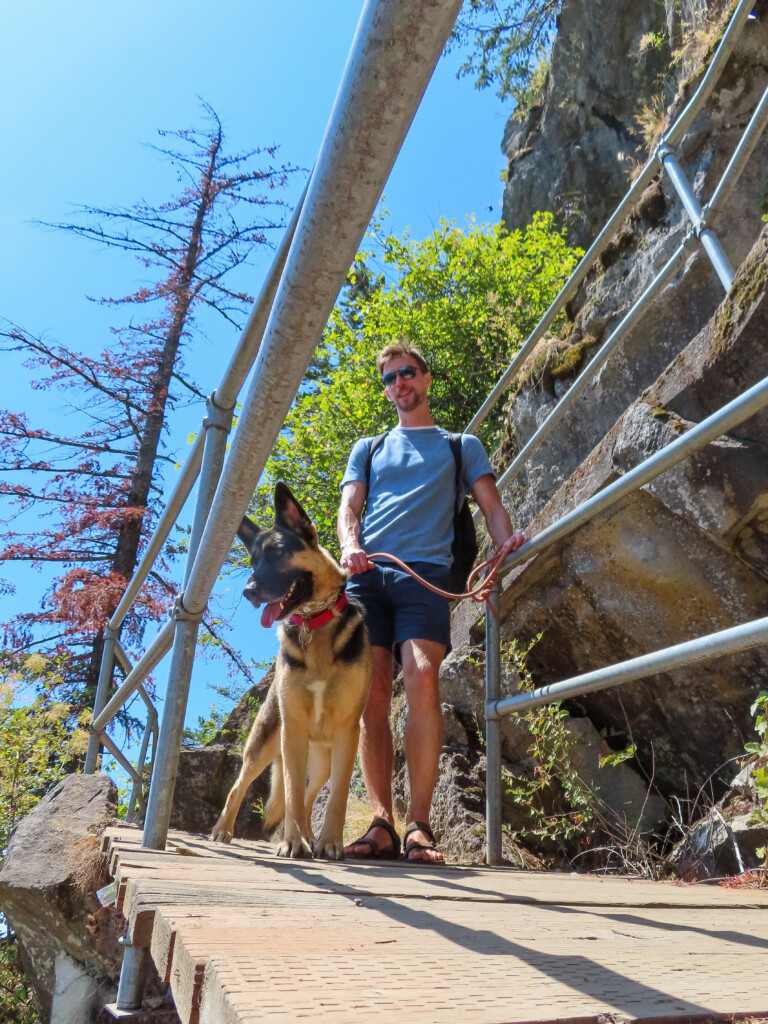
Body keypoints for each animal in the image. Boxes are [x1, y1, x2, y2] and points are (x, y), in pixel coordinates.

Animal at [207, 483, 370, 860]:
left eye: (279, 552)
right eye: (253, 561)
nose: (249, 591)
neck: (315, 620)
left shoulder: (347, 734)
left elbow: (335, 797)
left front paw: (330, 843)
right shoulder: (292, 732)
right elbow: (292, 795)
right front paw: (292, 843)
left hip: (323, 759)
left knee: (310, 798)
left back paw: (313, 838)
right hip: (265, 745)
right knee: (242, 786)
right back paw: (223, 830)